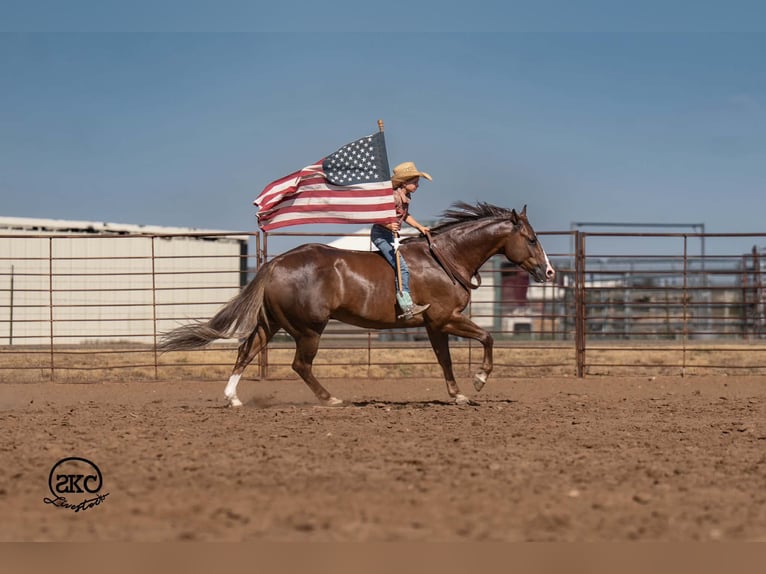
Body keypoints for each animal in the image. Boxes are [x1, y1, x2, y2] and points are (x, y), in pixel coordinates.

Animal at [158, 202, 555, 406]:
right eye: (531, 239)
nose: (549, 271)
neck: (446, 258)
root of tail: (275, 263)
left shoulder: (433, 326)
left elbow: (444, 360)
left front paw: (458, 395)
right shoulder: (446, 318)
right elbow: (488, 337)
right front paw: (479, 381)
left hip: (272, 324)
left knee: (246, 350)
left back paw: (233, 399)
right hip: (308, 329)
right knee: (300, 365)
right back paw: (330, 399)